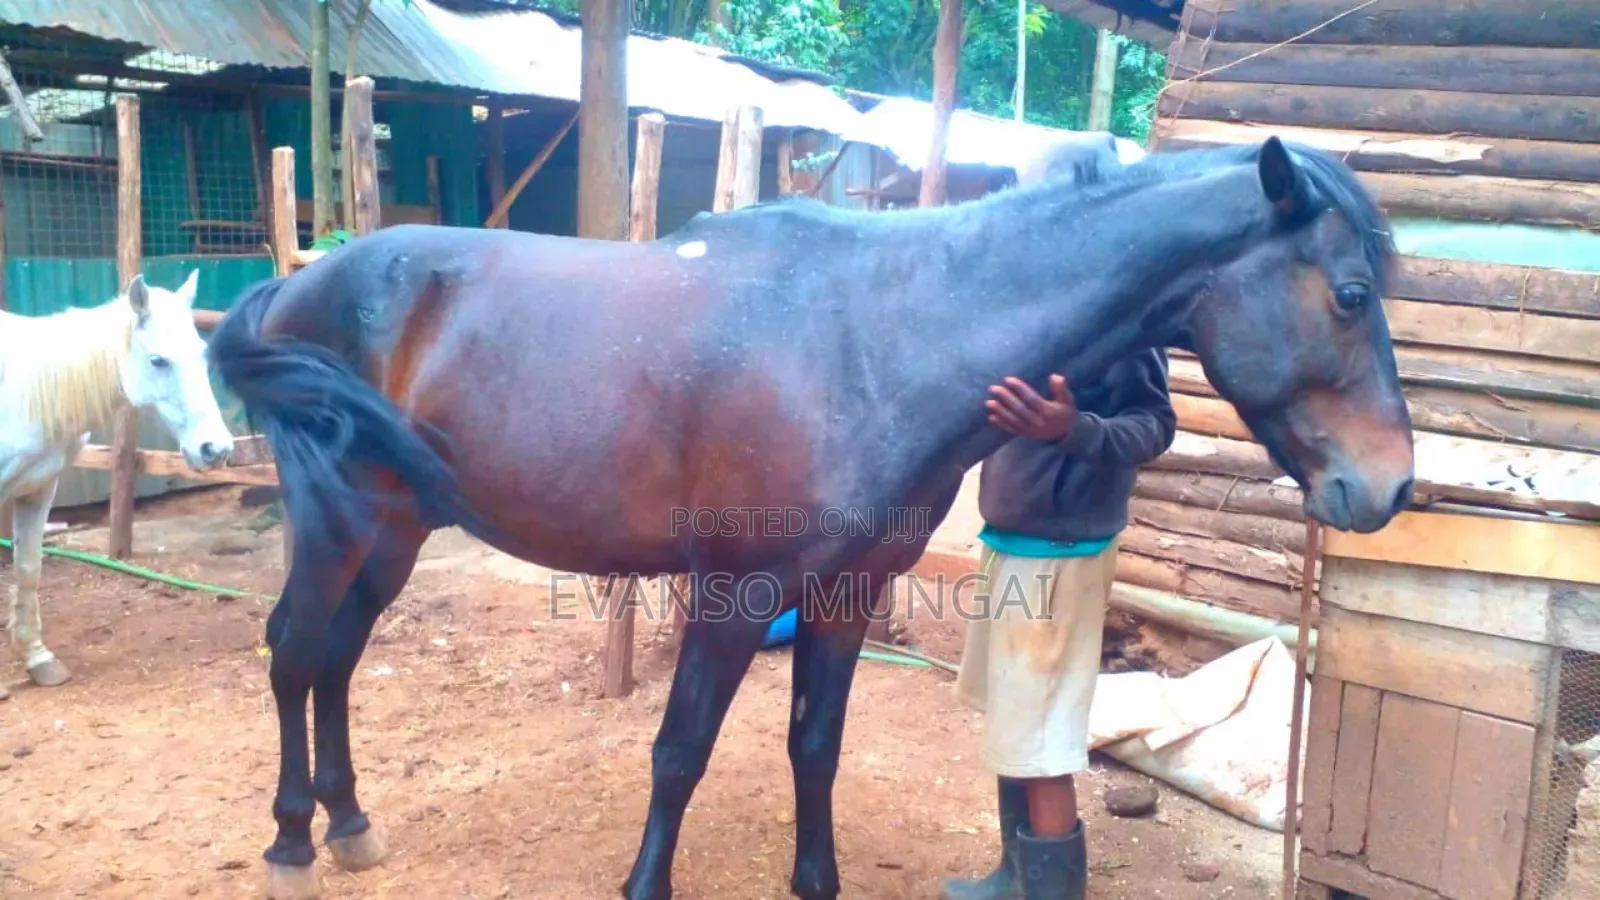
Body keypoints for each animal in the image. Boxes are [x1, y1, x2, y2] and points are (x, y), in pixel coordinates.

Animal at [0, 270, 236, 699]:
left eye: (202, 353)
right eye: (158, 360)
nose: (216, 449)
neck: (24, 390)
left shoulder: (38, 488)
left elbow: (28, 567)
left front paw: (38, 658)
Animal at [206, 136, 1414, 900]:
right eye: (1350, 295)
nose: (1392, 487)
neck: (880, 335)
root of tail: (297, 286)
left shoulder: (846, 593)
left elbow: (814, 746)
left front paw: (815, 879)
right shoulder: (734, 596)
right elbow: (679, 753)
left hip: (391, 531)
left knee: (334, 657)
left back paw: (348, 825)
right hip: (340, 521)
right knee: (294, 651)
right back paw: (291, 841)